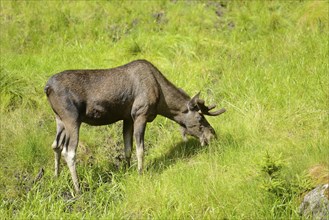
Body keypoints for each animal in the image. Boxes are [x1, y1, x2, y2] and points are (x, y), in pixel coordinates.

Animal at [44, 59, 226, 192]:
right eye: (200, 117)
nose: (212, 134)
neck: (162, 102)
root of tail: (47, 87)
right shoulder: (140, 114)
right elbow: (140, 149)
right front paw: (140, 172)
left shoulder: (127, 118)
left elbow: (127, 148)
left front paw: (126, 171)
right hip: (72, 118)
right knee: (69, 152)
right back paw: (78, 188)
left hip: (59, 119)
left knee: (55, 145)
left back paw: (56, 176)